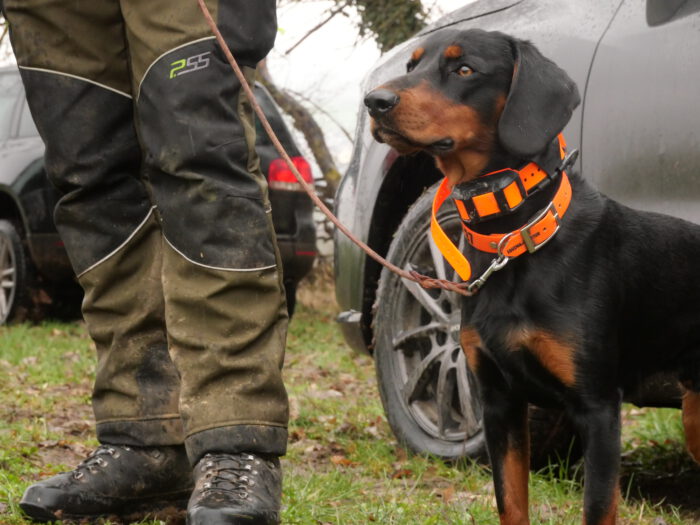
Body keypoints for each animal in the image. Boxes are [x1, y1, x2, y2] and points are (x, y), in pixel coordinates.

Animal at [364, 28, 700, 525]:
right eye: (412, 66)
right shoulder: (500, 402)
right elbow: (511, 502)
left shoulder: (598, 408)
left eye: (465, 69)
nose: (375, 101)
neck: (514, 238)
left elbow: (597, 507)